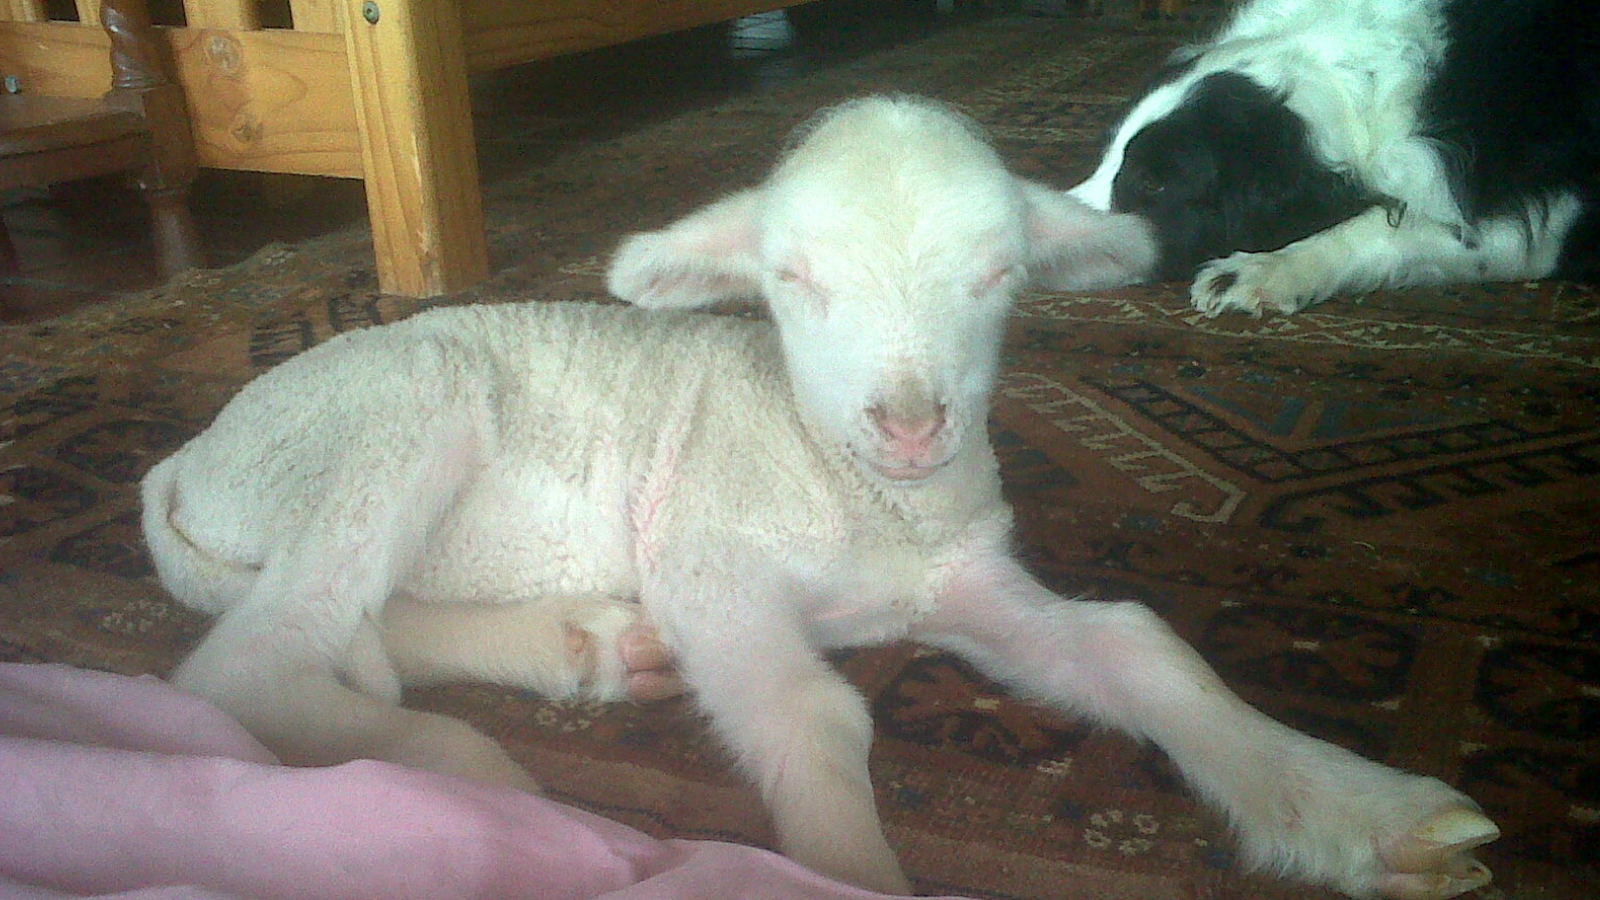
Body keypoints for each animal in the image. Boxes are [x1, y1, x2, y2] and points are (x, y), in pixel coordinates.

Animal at [141, 95, 1497, 900]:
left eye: (999, 274)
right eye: (791, 277)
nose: (909, 424)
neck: (849, 499)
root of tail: (185, 461)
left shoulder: (961, 578)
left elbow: (1139, 646)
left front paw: (1359, 808)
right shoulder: (703, 556)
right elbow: (816, 713)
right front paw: (848, 863)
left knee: (354, 622)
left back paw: (582, 647)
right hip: (392, 416)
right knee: (245, 663)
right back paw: (453, 768)